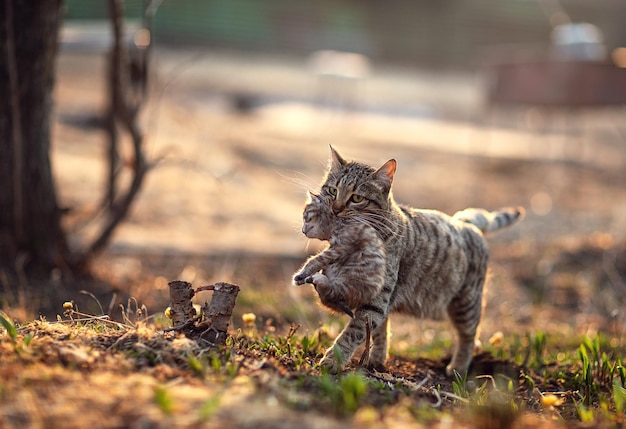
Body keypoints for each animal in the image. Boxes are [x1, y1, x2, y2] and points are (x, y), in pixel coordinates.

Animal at [308, 147, 520, 374]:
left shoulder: (376, 299)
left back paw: (457, 368)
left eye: (356, 198)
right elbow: (378, 331)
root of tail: (463, 221)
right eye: (333, 191)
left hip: (466, 304)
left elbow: (352, 333)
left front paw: (332, 360)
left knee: (469, 337)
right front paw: (376, 360)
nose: (336, 208)